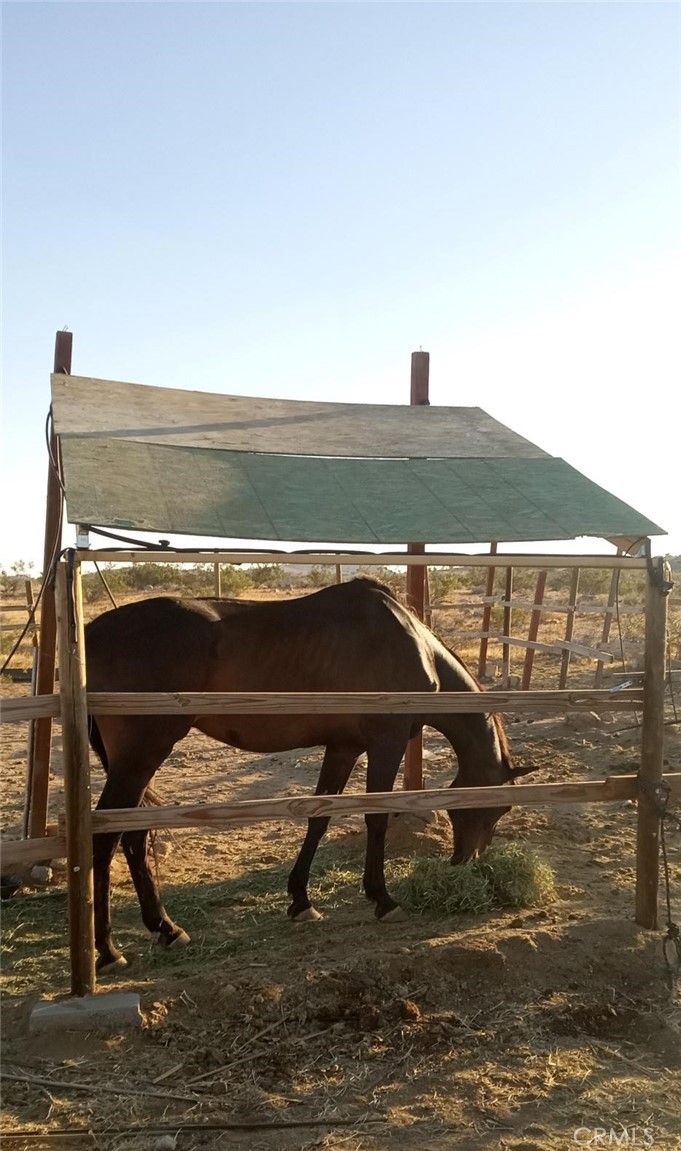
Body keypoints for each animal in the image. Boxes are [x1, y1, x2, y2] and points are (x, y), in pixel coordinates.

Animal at [85, 575, 529, 971]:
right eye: (499, 809)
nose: (467, 860)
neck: (414, 645)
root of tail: (90, 634)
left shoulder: (344, 747)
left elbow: (319, 817)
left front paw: (301, 900)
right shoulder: (386, 743)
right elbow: (377, 818)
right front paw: (383, 899)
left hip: (138, 762)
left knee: (134, 836)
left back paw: (166, 929)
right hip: (141, 756)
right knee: (106, 839)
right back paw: (108, 951)